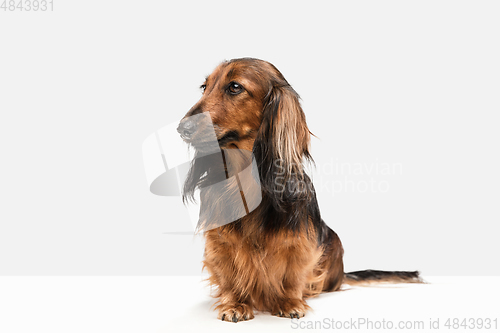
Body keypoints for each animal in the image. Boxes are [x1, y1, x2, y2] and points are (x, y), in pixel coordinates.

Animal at [178, 57, 420, 322]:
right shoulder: (219, 241)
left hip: (334, 241)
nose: (181, 128)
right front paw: (235, 304)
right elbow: (228, 273)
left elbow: (293, 273)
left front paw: (290, 302)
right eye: (204, 87)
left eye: (234, 87)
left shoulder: (300, 241)